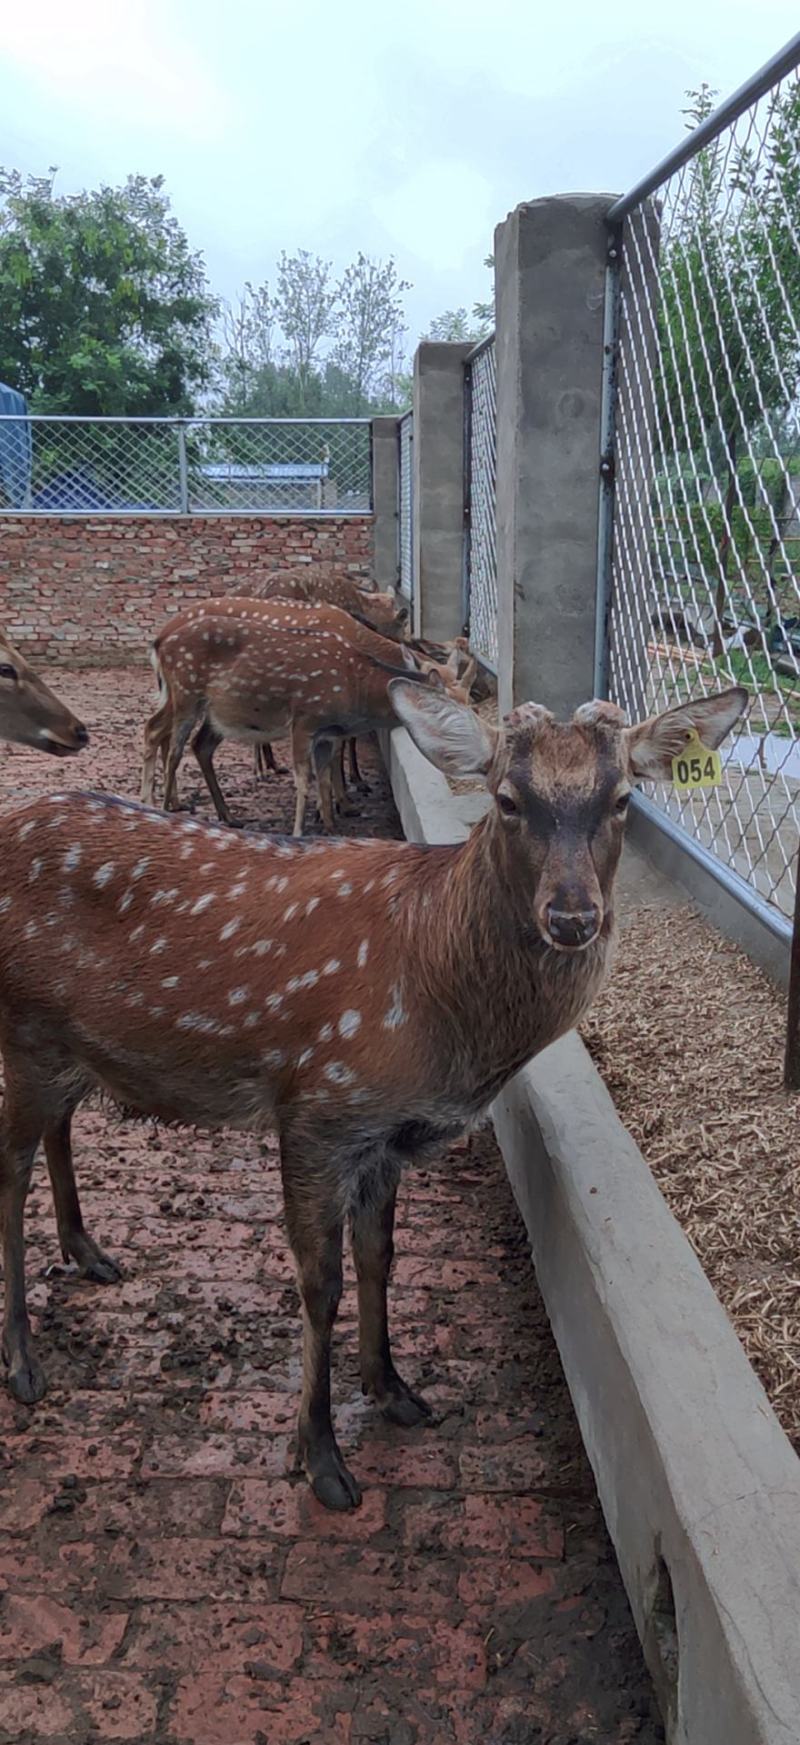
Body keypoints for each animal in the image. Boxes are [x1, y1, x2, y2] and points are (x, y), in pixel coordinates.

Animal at [0, 682, 746, 1509]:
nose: (574, 915)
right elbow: (318, 1281)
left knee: (59, 1129)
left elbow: (380, 1255)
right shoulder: (316, 1104)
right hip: (21, 1029)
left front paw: (393, 1389)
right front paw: (320, 1456)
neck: (433, 990)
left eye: (620, 799)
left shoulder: (385, 1135)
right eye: (507, 798)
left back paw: (88, 1252)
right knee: (8, 1178)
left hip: (68, 1046)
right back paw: (23, 1361)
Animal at [139, 598, 476, 835]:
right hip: (186, 694)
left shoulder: (327, 729)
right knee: (169, 742)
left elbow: (325, 769)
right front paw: (328, 812)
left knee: (188, 742)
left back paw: (221, 813)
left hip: (208, 709)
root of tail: (159, 640)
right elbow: (314, 771)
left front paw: (332, 818)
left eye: (470, 701)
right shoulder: (305, 722)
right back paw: (164, 805)